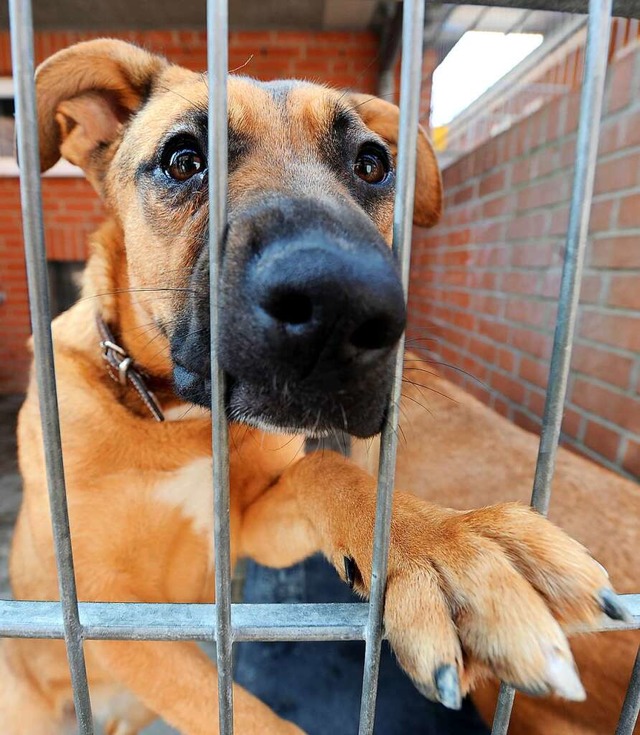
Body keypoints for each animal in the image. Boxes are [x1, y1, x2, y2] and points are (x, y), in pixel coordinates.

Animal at [0, 40, 632, 735]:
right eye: (183, 159)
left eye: (372, 164)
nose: (344, 309)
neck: (176, 418)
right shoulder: (99, 605)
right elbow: (232, 710)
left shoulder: (251, 527)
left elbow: (324, 471)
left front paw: (441, 545)